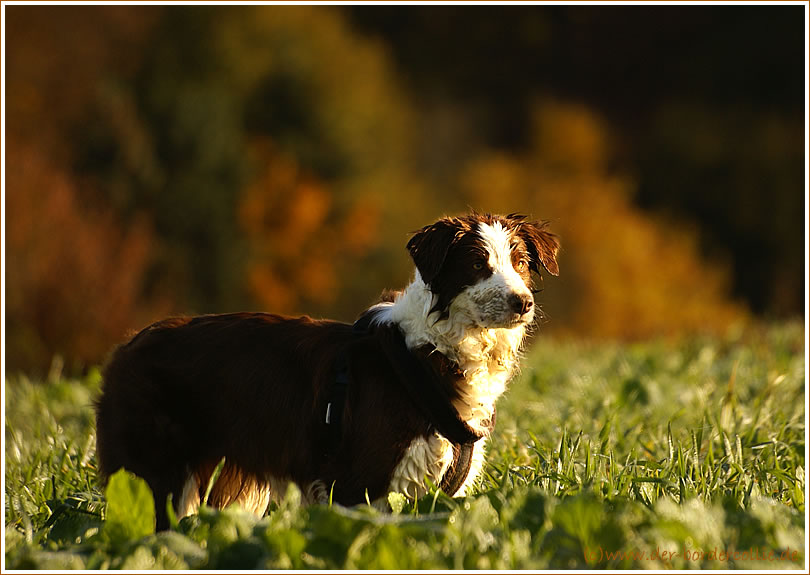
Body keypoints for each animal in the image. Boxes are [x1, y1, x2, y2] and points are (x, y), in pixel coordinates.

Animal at [94, 213, 560, 532]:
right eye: (478, 265)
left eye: (520, 263)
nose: (523, 303)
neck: (432, 352)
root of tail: (125, 348)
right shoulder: (360, 484)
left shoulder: (441, 493)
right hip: (151, 475)